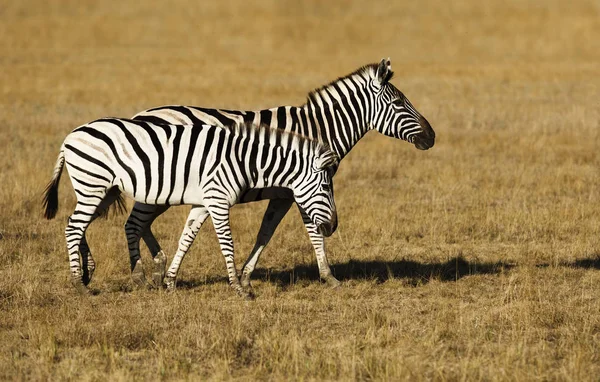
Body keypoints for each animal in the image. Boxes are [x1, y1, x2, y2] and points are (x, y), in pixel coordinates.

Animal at [42, 118, 340, 298]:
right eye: (326, 188)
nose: (333, 227)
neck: (244, 160)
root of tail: (69, 137)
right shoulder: (218, 200)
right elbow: (227, 243)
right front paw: (238, 288)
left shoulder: (202, 202)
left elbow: (186, 239)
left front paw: (170, 282)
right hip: (93, 184)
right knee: (74, 227)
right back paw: (78, 284)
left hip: (102, 190)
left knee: (76, 224)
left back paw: (90, 272)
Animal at [126, 56, 436, 290]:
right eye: (398, 103)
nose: (431, 137)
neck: (318, 129)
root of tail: (139, 116)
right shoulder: (302, 188)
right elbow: (313, 231)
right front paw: (329, 277)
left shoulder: (284, 194)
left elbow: (266, 231)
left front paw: (246, 276)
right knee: (134, 223)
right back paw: (146, 273)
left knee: (143, 224)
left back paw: (158, 268)